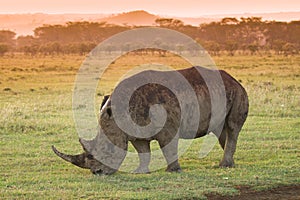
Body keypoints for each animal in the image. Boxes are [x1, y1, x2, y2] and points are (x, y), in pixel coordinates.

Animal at [52, 66, 248, 175]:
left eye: (107, 150)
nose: (97, 173)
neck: (118, 112)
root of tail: (234, 79)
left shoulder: (169, 127)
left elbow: (168, 147)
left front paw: (172, 171)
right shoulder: (135, 131)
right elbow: (143, 151)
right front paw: (140, 172)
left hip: (238, 92)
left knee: (232, 127)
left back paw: (224, 166)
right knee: (220, 130)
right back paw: (230, 165)